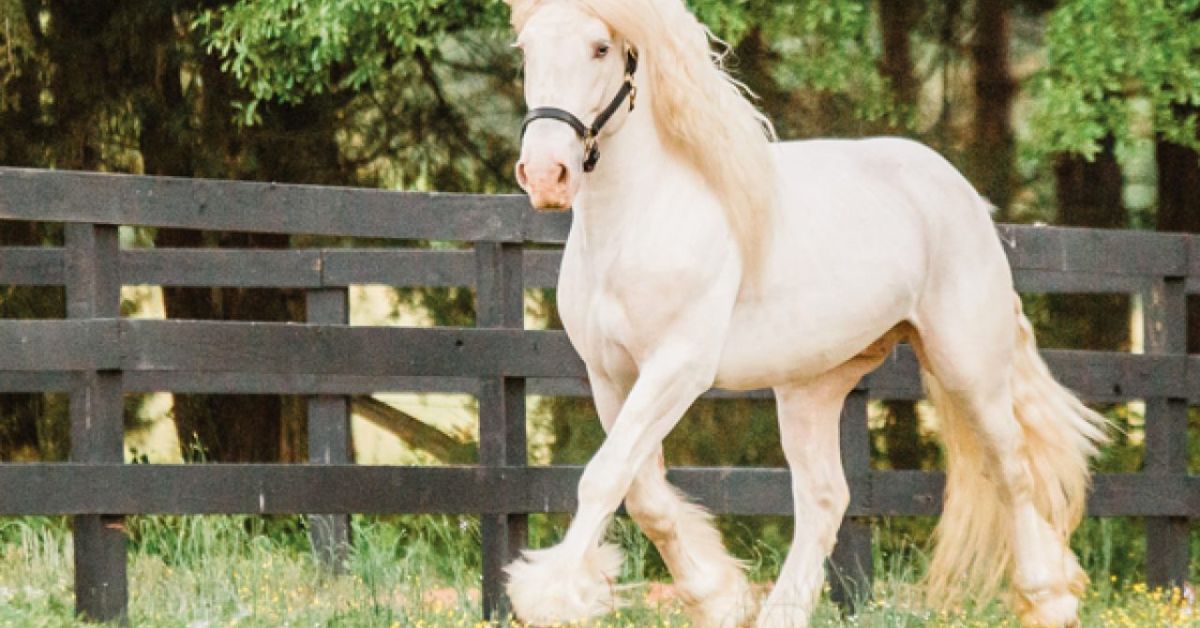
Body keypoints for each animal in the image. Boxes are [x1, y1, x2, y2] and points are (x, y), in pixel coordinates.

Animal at [499, 2, 1104, 624]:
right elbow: (642, 494)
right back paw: (781, 611)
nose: (546, 175)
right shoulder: (609, 376)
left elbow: (603, 478)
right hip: (812, 386)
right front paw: (718, 598)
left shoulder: (677, 368)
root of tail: (965, 194)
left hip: (968, 367)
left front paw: (550, 596)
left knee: (1012, 468)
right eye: (525, 48)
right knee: (825, 497)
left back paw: (1048, 599)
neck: (640, 219)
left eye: (600, 48)